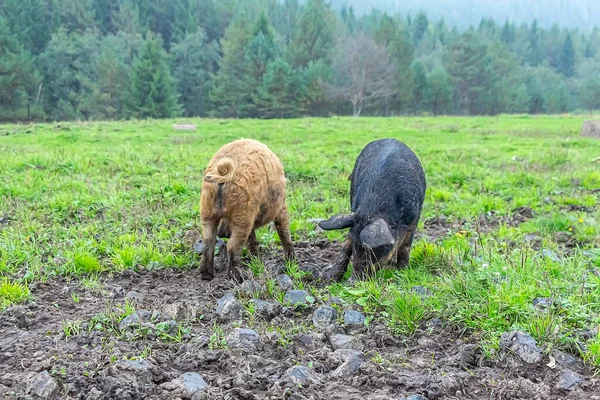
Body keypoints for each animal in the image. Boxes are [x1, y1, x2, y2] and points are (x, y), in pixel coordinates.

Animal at [200, 140, 294, 282]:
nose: (223, 233)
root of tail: (221, 172)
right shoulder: (281, 205)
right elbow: (283, 230)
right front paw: (292, 260)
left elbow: (252, 237)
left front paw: (255, 259)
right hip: (243, 213)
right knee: (233, 246)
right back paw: (236, 278)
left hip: (207, 208)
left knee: (208, 241)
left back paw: (206, 276)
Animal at [318, 138, 426, 282]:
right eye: (356, 247)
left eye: (375, 250)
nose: (352, 281)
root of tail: (389, 138)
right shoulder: (355, 216)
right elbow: (346, 244)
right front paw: (328, 279)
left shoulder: (413, 222)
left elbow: (405, 248)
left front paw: (401, 273)